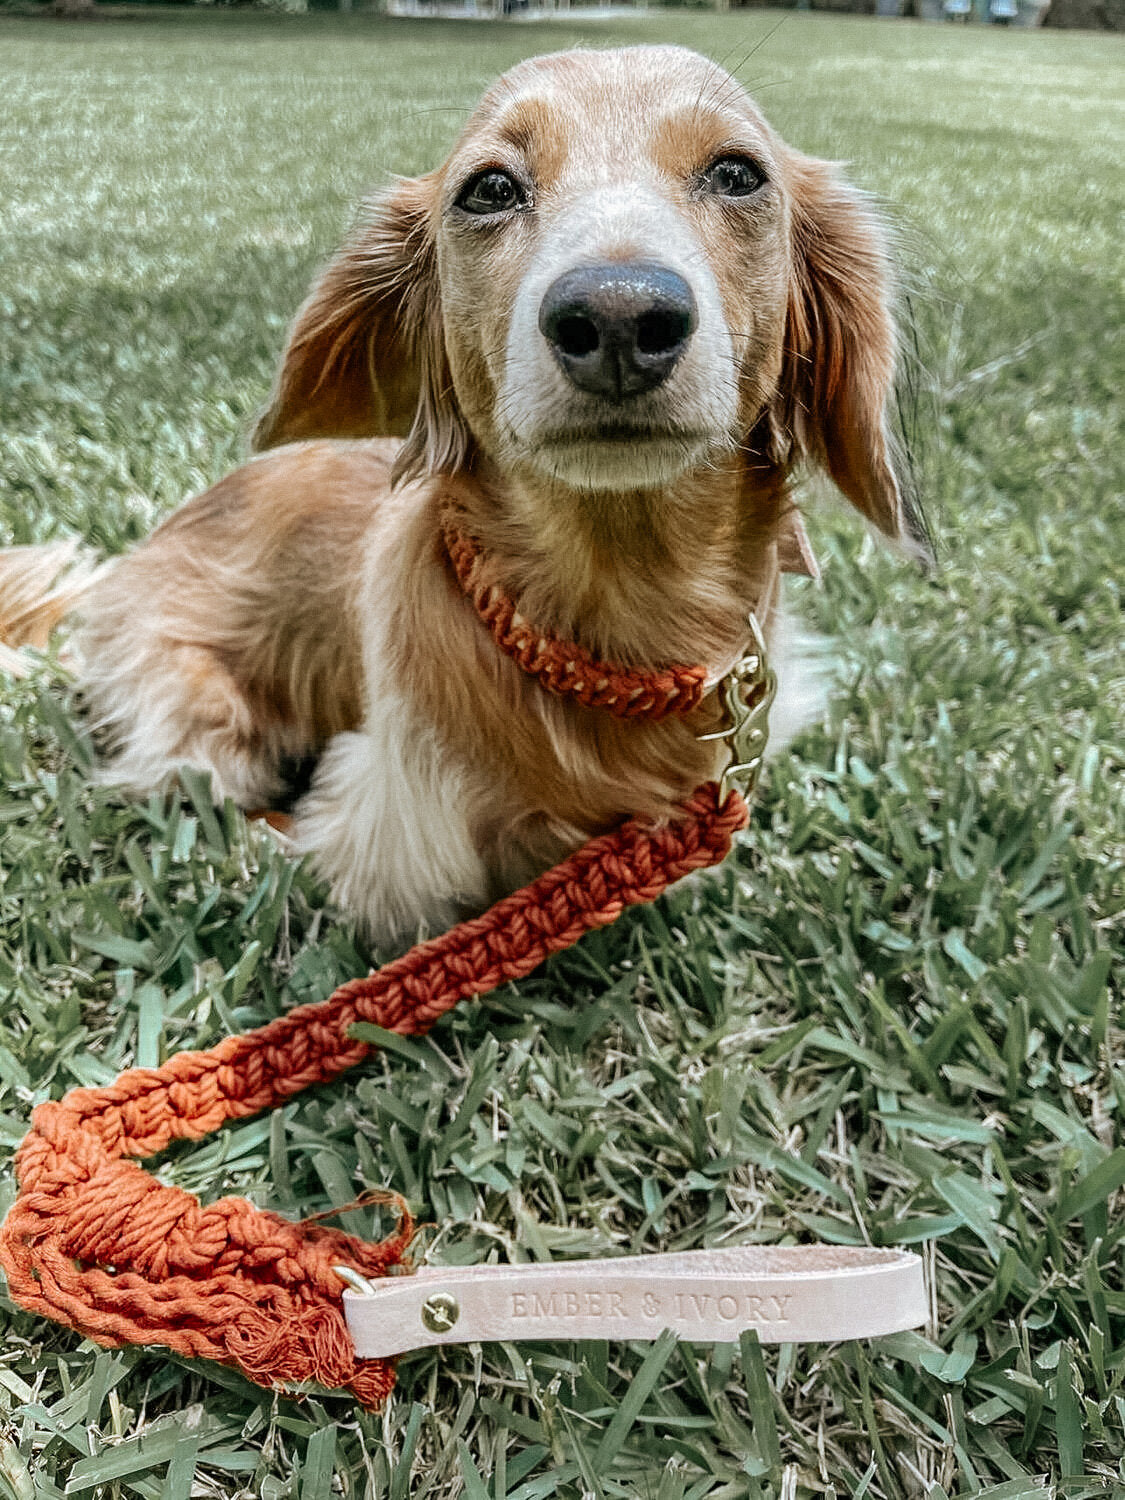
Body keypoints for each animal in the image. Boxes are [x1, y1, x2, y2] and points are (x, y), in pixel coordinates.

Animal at [2, 46, 924, 948]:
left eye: (737, 174)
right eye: (489, 189)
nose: (618, 318)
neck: (612, 616)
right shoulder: (396, 841)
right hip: (199, 720)